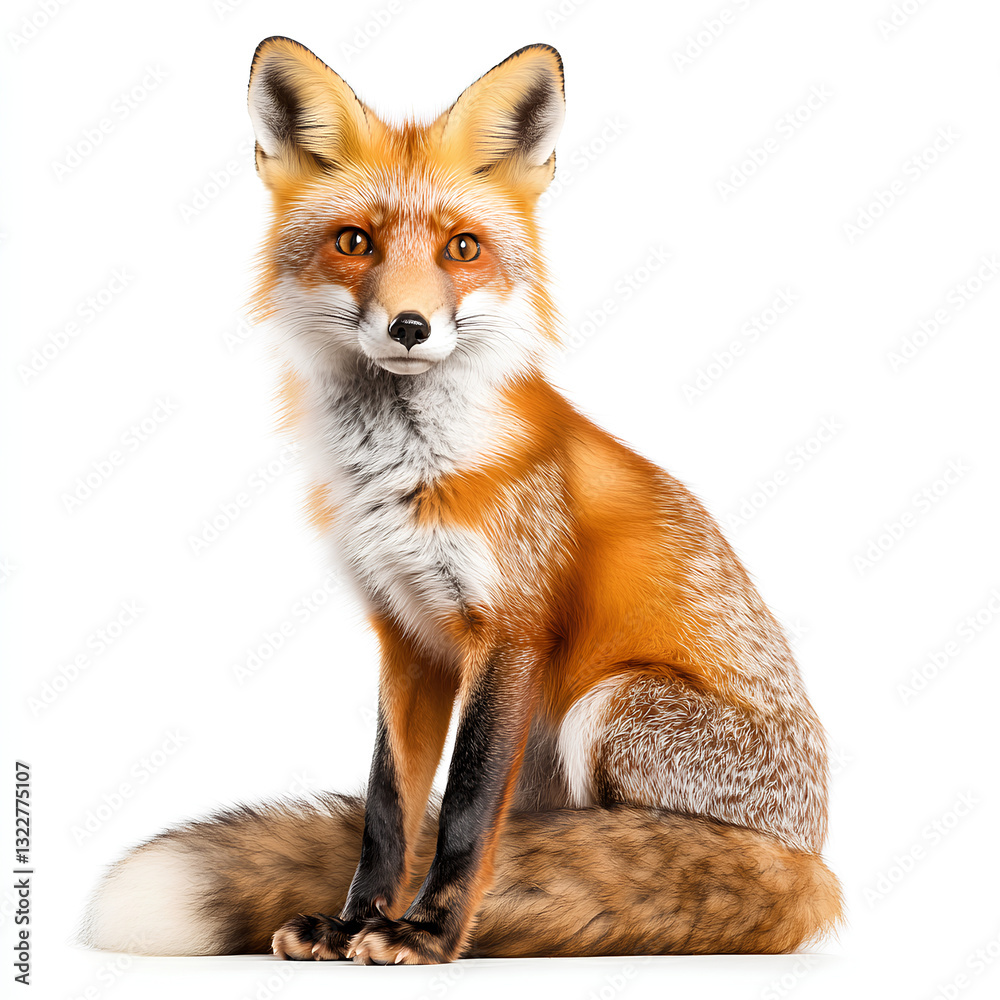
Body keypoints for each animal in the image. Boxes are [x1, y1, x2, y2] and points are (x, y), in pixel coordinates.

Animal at [82, 38, 842, 964]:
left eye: (463, 248)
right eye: (354, 241)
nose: (410, 326)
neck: (406, 474)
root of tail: (810, 856)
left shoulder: (509, 629)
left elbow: (469, 810)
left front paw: (431, 933)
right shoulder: (406, 635)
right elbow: (390, 807)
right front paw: (357, 920)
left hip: (610, 703)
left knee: (649, 846)